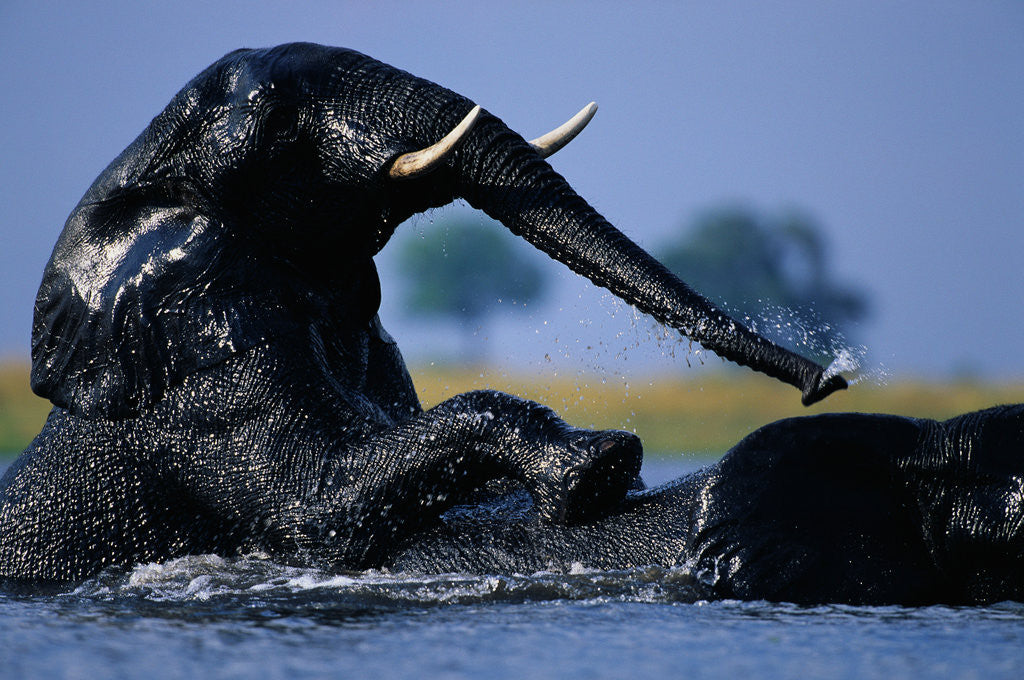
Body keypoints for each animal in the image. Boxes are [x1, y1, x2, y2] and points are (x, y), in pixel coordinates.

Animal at [0, 43, 846, 583]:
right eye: (281, 129)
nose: (830, 379)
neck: (146, 170)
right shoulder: (197, 361)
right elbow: (312, 511)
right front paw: (602, 463)